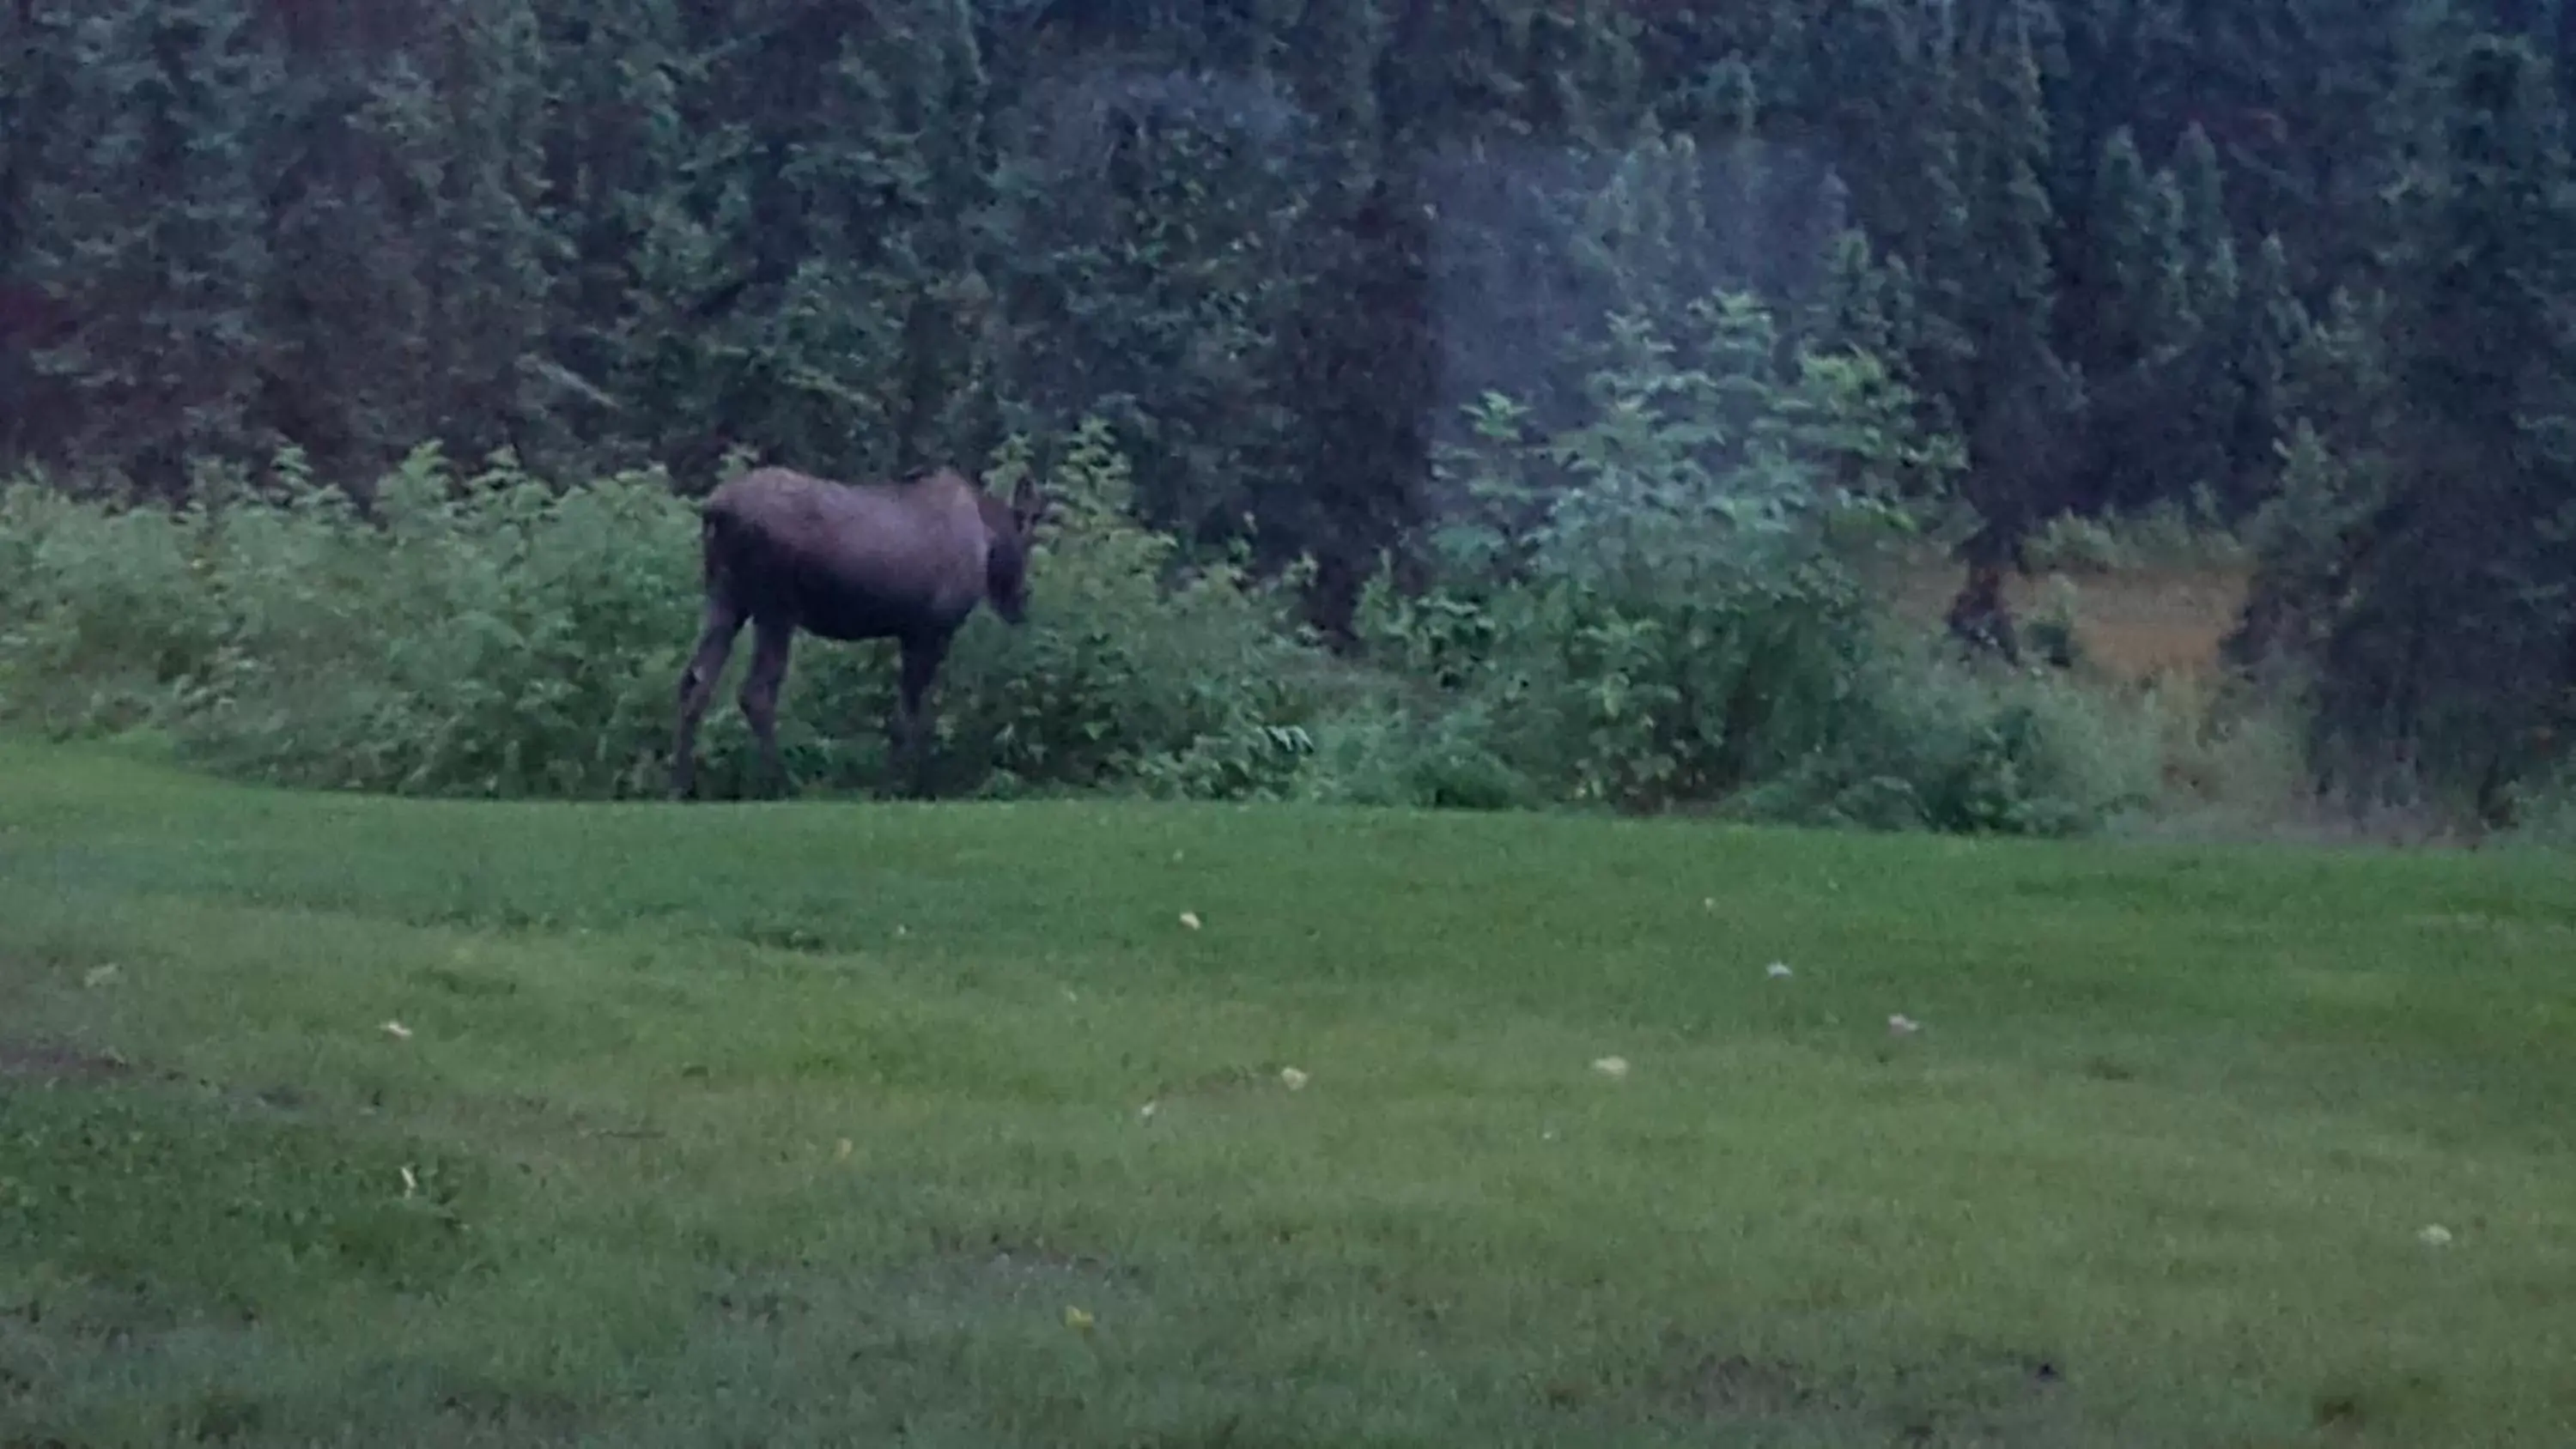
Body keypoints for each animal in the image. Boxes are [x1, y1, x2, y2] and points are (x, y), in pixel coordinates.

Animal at [665, 465, 1046, 803]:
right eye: (1028, 540)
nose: (1022, 601)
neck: (987, 539)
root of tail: (715, 511)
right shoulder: (930, 630)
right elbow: (909, 718)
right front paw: (900, 786)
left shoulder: (912, 633)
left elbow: (915, 716)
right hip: (775, 608)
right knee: (756, 691)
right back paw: (779, 783)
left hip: (725, 598)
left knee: (694, 681)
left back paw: (681, 785)